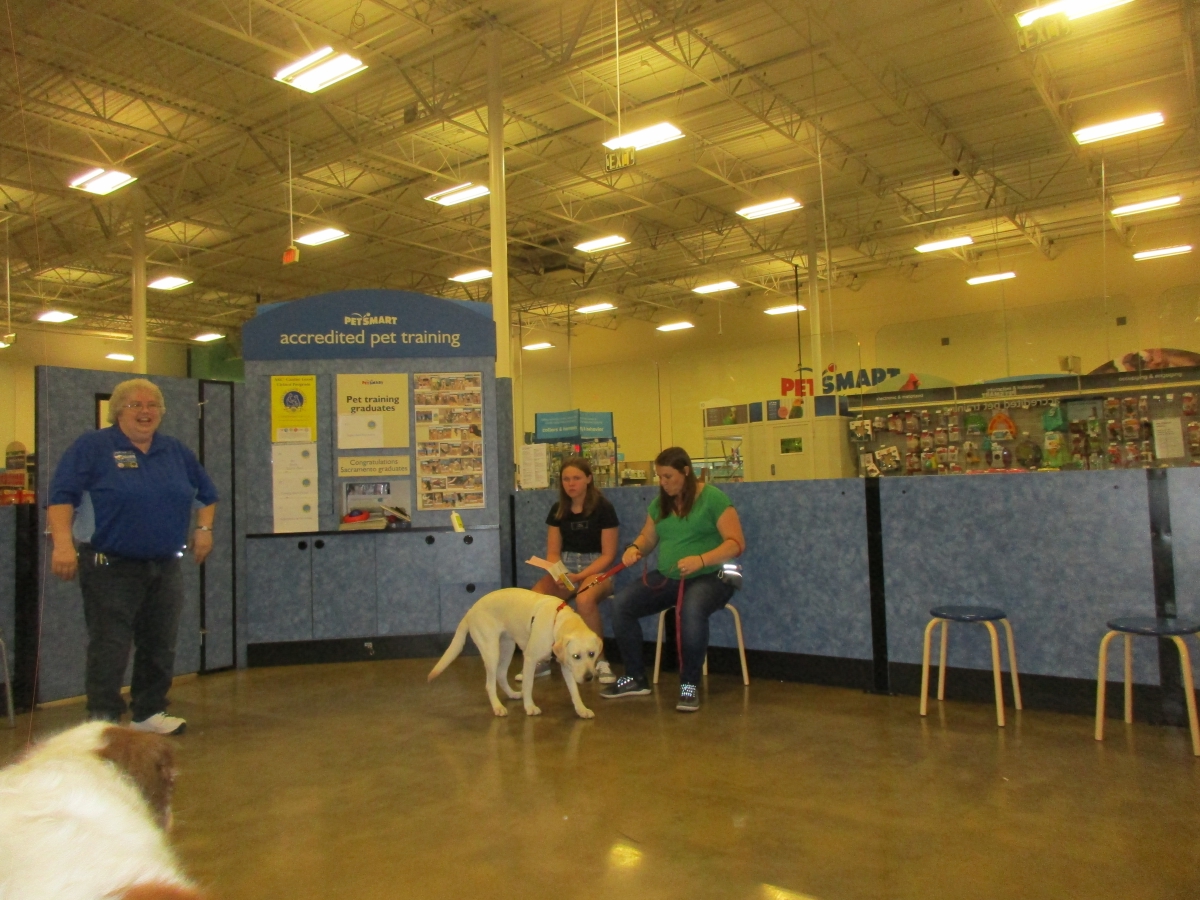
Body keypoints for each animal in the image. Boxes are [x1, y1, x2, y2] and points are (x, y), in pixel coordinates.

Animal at [428, 587, 604, 718]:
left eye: (592, 654)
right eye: (576, 656)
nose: (589, 677)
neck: (556, 623)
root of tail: (471, 610)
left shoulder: (566, 665)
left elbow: (574, 690)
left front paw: (581, 709)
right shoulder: (530, 659)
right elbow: (528, 684)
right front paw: (529, 707)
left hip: (508, 647)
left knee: (500, 675)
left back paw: (512, 694)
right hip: (491, 651)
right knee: (490, 684)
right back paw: (497, 707)